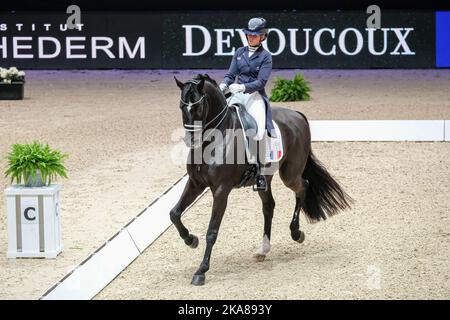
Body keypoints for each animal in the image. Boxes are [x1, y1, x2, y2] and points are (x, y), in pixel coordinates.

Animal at [171, 74, 350, 284]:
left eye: (198, 107)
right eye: (181, 106)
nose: (191, 141)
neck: (214, 139)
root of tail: (298, 114)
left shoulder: (221, 191)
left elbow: (212, 232)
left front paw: (201, 271)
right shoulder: (196, 183)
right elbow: (174, 213)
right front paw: (191, 240)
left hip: (289, 175)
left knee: (303, 187)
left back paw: (296, 233)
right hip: (265, 178)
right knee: (269, 206)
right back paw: (263, 249)